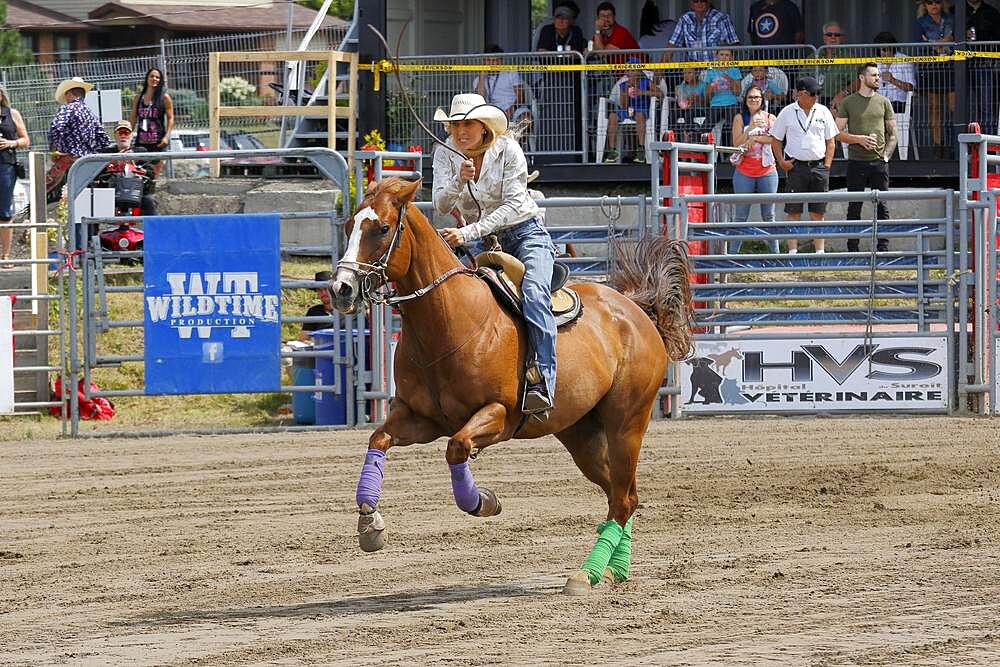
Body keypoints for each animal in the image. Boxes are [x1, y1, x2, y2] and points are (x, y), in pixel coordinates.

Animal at [332, 177, 692, 596]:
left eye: (383, 228)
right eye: (348, 226)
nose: (340, 289)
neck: (451, 321)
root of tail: (635, 308)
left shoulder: (499, 416)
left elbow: (457, 448)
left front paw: (483, 501)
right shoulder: (419, 418)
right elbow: (379, 439)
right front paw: (369, 524)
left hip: (626, 424)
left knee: (622, 499)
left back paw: (586, 574)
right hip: (581, 435)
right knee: (625, 496)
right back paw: (614, 570)